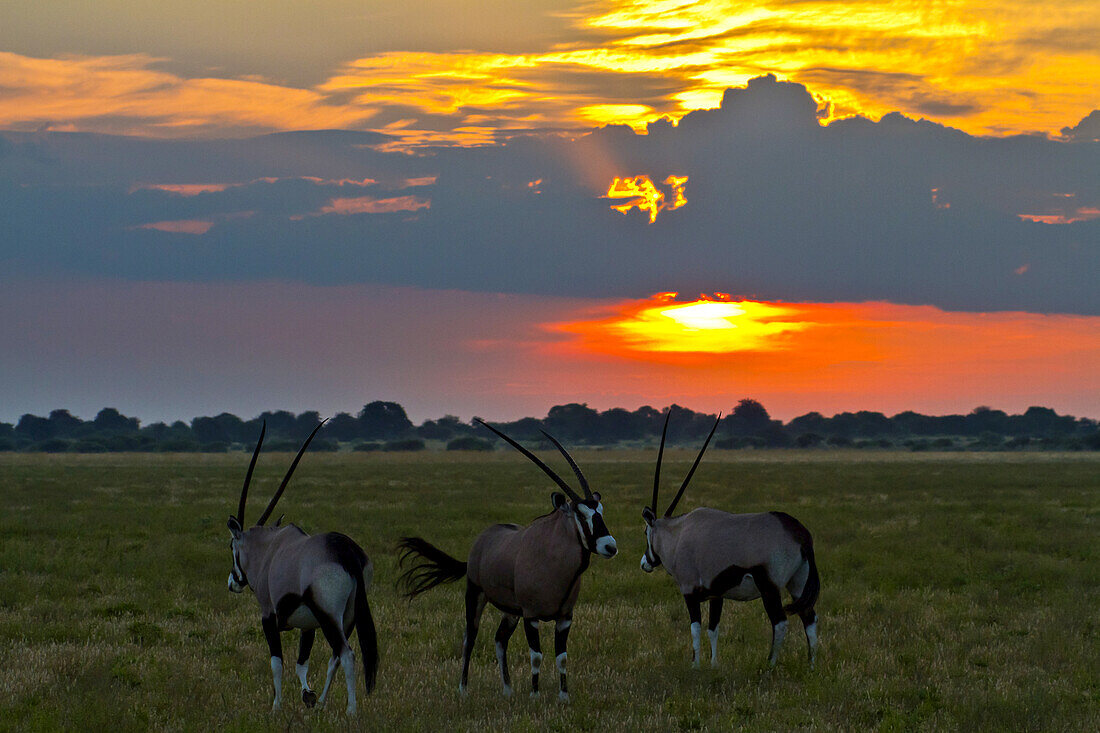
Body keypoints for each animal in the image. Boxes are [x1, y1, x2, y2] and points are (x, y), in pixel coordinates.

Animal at [224, 420, 378, 708]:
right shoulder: (308, 626)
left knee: (347, 654)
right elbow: (301, 664)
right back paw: (322, 705)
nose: (232, 583)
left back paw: (351, 710)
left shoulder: (268, 615)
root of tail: (347, 553)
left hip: (329, 616)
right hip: (347, 617)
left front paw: (276, 706)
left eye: (231, 547)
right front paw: (309, 696)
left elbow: (277, 663)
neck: (269, 550)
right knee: (335, 657)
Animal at [398, 420, 620, 699]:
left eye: (599, 511)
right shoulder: (531, 616)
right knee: (470, 638)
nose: (609, 546)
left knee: (499, 639)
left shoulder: (564, 617)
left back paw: (507, 690)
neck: (554, 559)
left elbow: (562, 657)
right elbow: (536, 656)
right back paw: (463, 689)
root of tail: (482, 540)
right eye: (581, 515)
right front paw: (535, 695)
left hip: (510, 612)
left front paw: (563, 697)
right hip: (476, 596)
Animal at [642, 407, 818, 669]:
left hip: (770, 588)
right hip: (798, 584)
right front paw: (714, 665)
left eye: (646, 532)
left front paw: (695, 666)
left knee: (780, 622)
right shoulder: (717, 594)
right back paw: (812, 666)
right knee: (809, 618)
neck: (678, 534)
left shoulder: (689, 592)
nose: (645, 562)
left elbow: (695, 629)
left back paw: (769, 666)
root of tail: (799, 533)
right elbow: (713, 629)